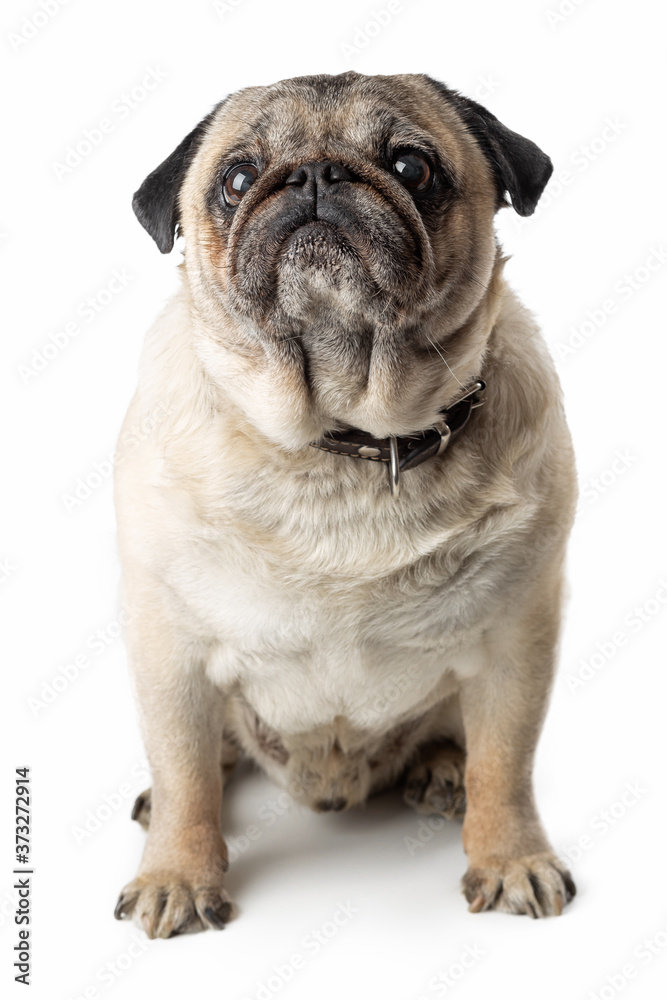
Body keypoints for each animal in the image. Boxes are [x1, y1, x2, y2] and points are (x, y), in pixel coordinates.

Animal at [112, 72, 576, 936]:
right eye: (237, 178)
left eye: (411, 167)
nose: (314, 176)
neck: (344, 442)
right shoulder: (170, 648)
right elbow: (185, 769)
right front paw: (177, 874)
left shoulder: (517, 640)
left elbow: (506, 764)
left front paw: (511, 858)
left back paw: (441, 768)